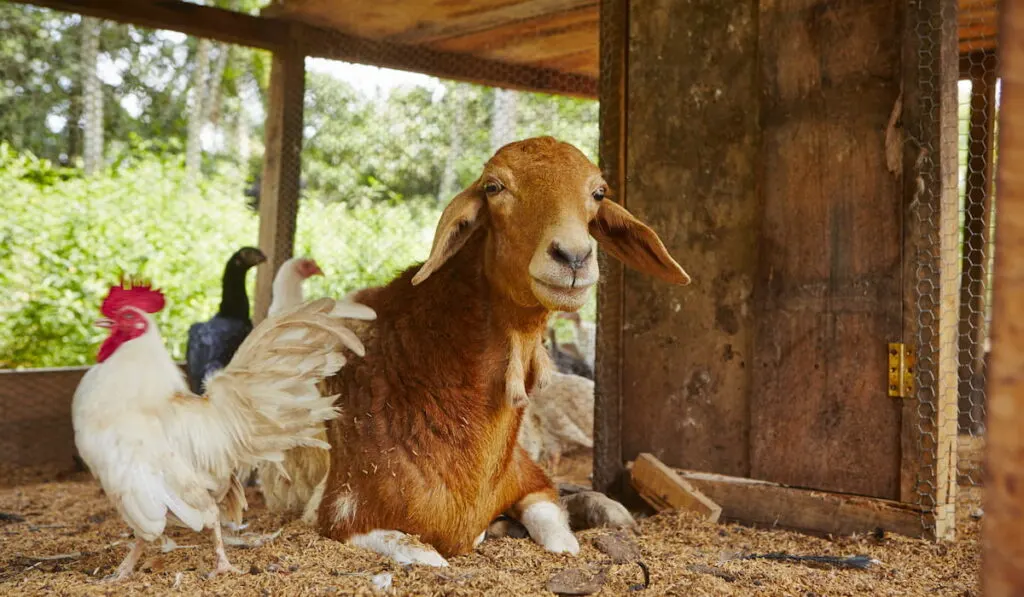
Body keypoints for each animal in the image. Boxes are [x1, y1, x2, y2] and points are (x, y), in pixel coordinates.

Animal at [319, 138, 688, 569]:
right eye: (493, 187)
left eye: (599, 193)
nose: (573, 257)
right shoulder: (345, 513)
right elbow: (430, 557)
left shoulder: (528, 474)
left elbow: (561, 537)